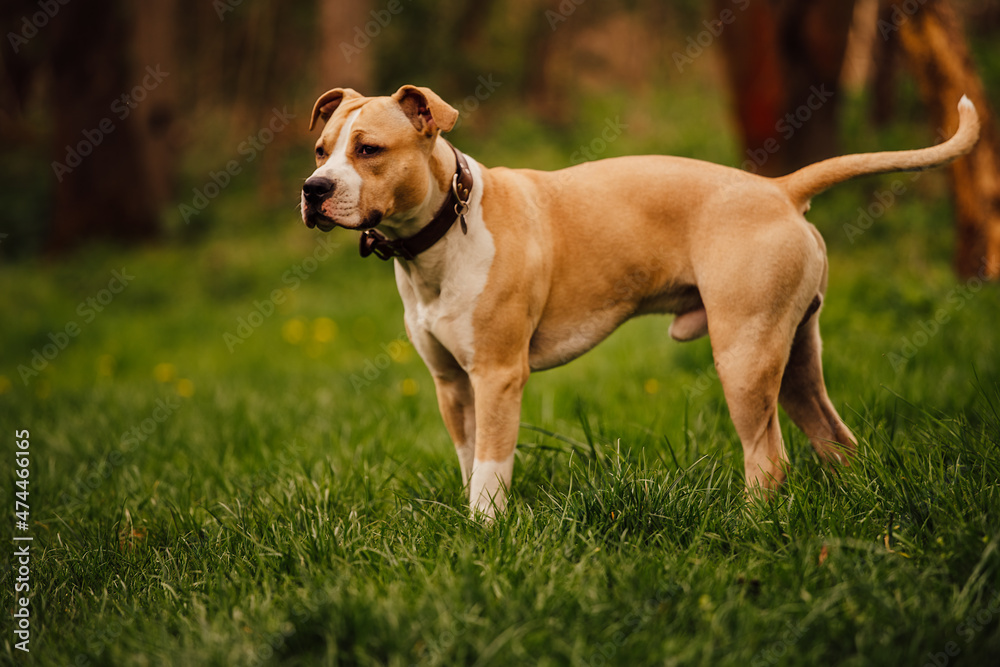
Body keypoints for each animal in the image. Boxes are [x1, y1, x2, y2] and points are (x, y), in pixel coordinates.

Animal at [300, 86, 980, 520]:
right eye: (321, 149)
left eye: (369, 150)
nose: (314, 189)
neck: (445, 227)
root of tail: (780, 190)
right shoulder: (452, 385)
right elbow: (471, 463)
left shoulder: (496, 377)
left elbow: (491, 470)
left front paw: (486, 532)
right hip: (793, 359)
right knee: (835, 439)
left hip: (744, 357)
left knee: (768, 459)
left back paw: (750, 527)